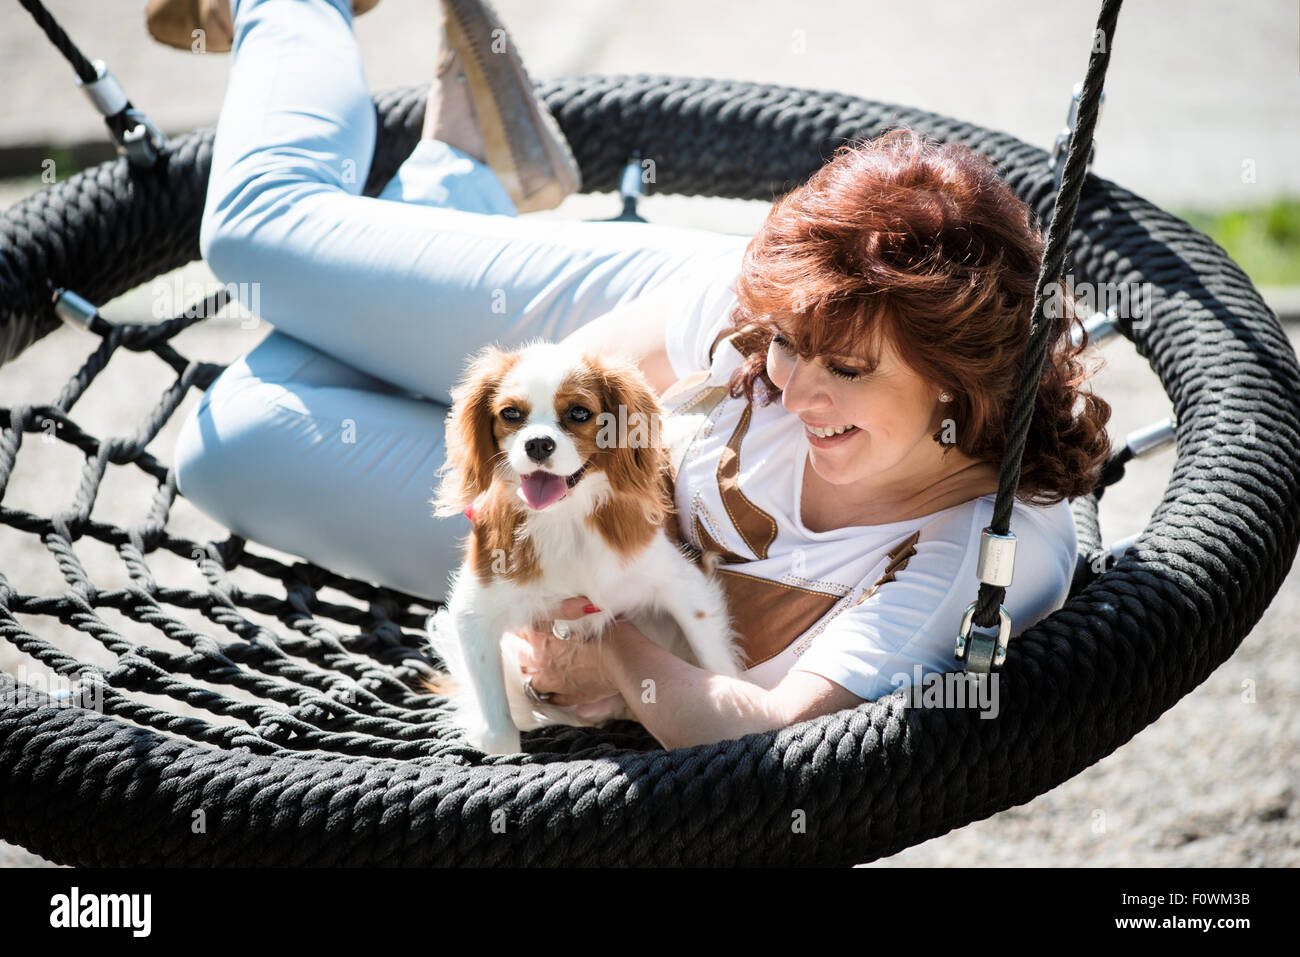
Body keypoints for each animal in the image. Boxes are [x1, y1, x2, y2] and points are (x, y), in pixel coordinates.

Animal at [423, 340, 743, 748]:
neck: (565, 516)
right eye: (510, 413)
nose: (537, 443)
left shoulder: (688, 588)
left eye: (579, 413)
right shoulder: (473, 611)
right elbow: (498, 727)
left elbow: (718, 667)